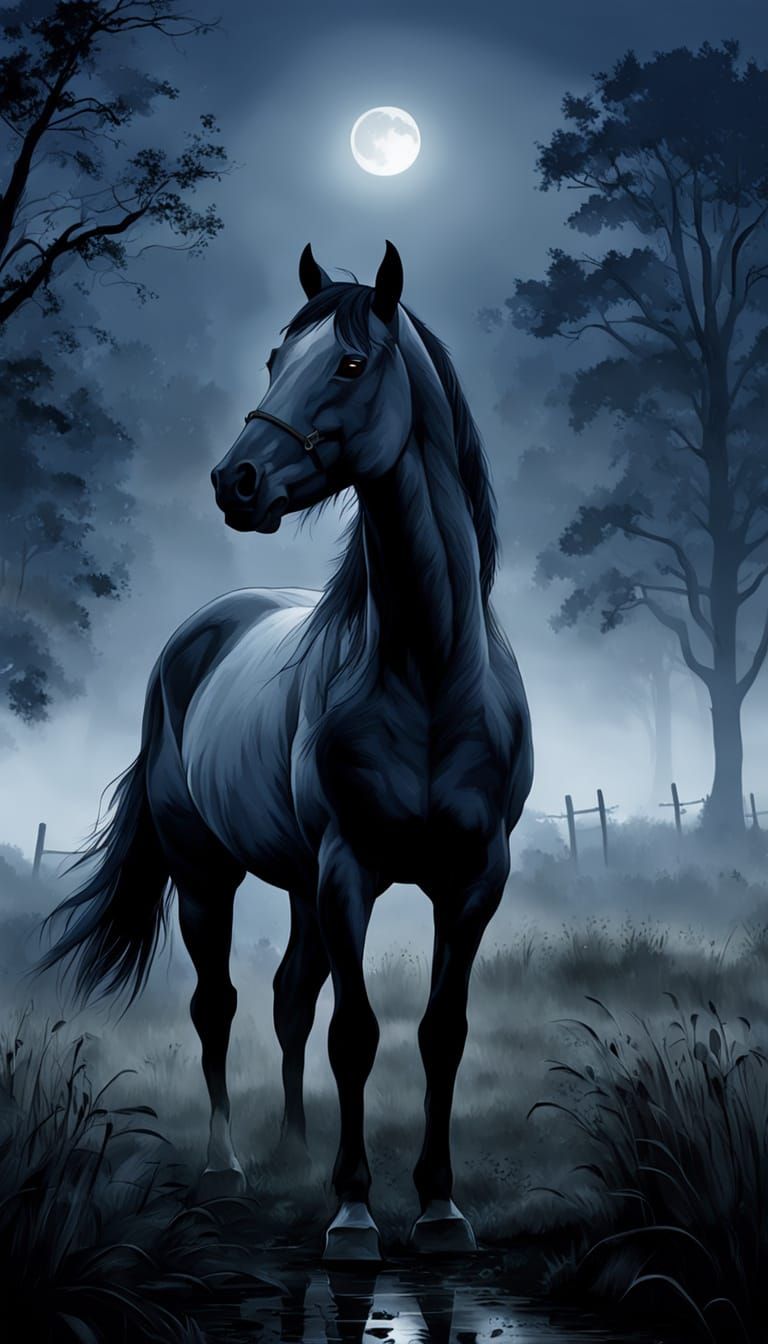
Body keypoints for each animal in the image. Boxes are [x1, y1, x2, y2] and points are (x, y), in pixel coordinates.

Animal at [40, 241, 533, 1261]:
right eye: (275, 360)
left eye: (348, 364)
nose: (236, 483)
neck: (429, 669)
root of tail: (202, 630)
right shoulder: (349, 869)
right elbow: (357, 1033)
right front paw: (353, 1215)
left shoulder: (473, 878)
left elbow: (441, 1032)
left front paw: (440, 1209)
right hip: (208, 875)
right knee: (220, 1005)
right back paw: (228, 1170)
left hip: (302, 882)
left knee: (288, 995)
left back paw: (295, 1152)